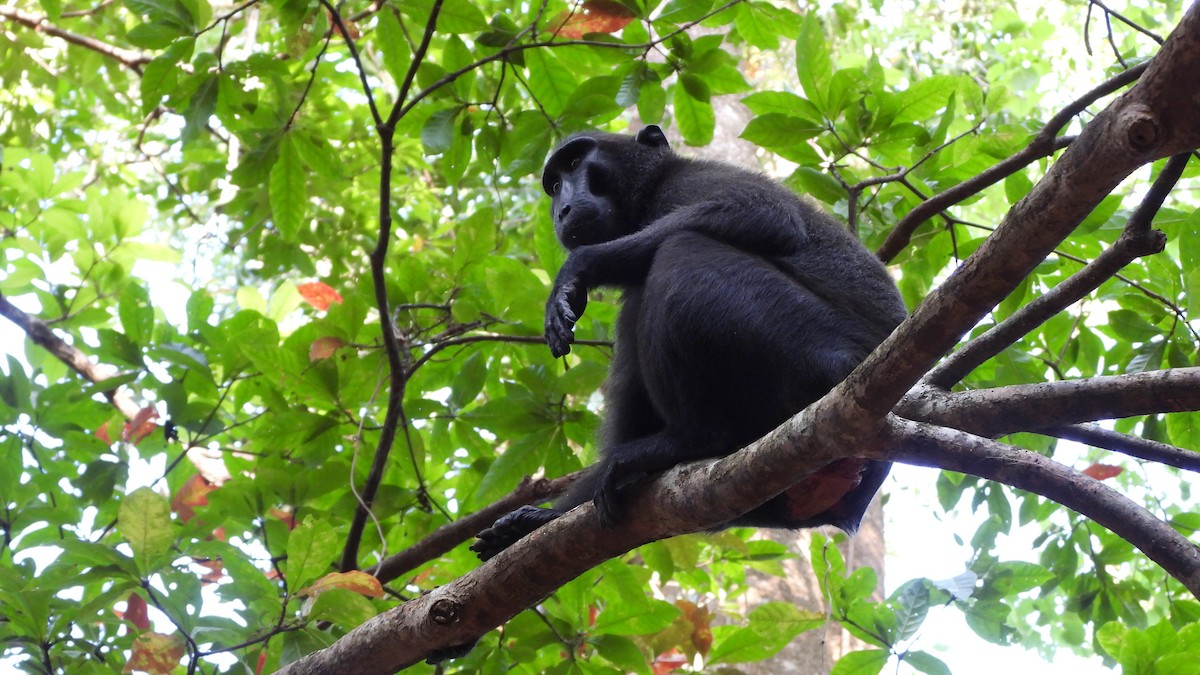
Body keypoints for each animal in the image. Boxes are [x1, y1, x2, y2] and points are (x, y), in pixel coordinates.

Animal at [470, 124, 907, 562]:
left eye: (576, 163)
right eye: (555, 184)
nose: (561, 209)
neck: (648, 192)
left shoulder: (689, 182)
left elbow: (765, 214)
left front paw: (576, 270)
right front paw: (546, 517)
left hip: (819, 354)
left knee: (681, 248)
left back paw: (695, 439)